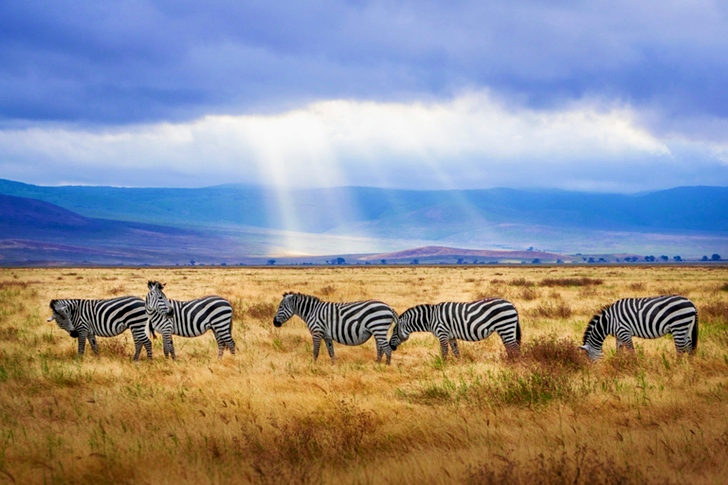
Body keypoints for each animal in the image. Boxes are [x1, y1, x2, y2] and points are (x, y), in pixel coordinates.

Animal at [389, 298, 521, 359]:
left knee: (514, 347)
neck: (431, 318)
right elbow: (456, 351)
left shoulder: (442, 333)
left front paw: (443, 365)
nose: (390, 346)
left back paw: (514, 364)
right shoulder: (451, 336)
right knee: (510, 347)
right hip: (505, 329)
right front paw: (459, 365)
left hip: (505, 327)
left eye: (394, 332)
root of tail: (511, 304)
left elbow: (444, 351)